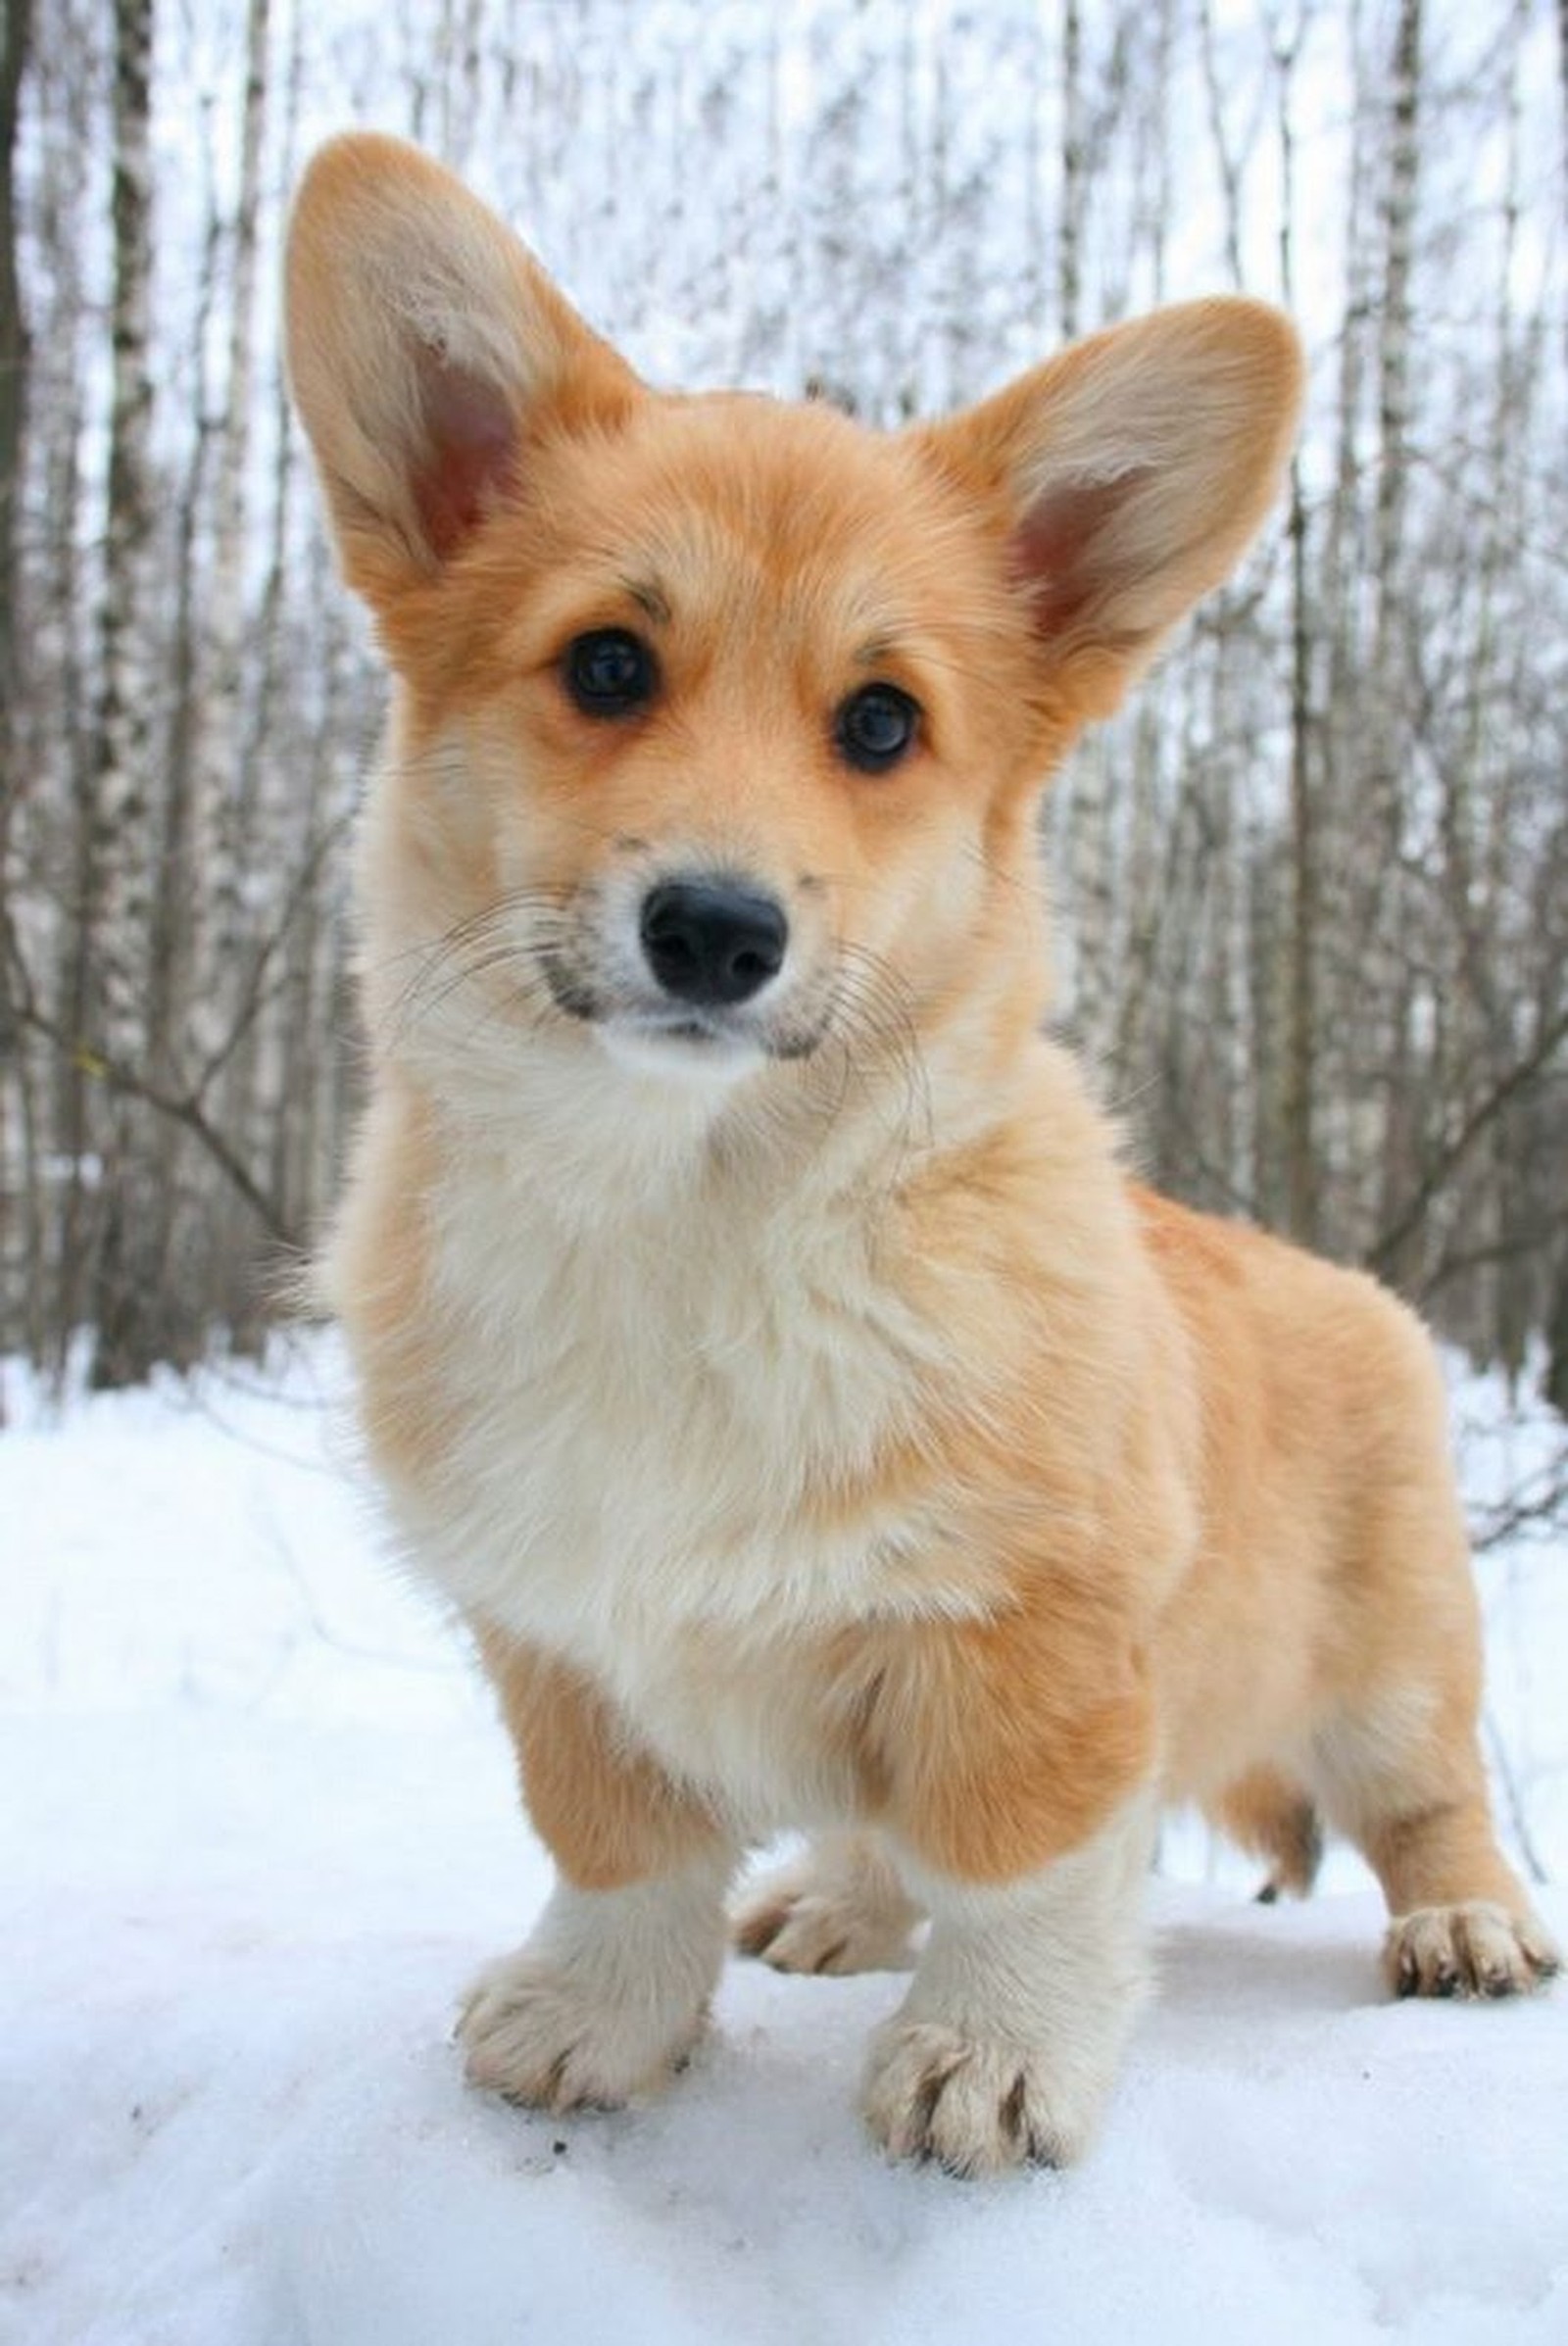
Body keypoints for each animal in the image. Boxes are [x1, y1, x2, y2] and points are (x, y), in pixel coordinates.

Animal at [287, 137, 1558, 2168]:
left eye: (880, 721)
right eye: (608, 664)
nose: (715, 929)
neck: (693, 1210)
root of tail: (1335, 1274)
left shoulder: (1030, 1631)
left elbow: (1026, 1859)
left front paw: (995, 2052)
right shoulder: (557, 1632)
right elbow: (619, 1848)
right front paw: (595, 2015)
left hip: (1395, 1655)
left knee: (1425, 1792)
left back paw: (1465, 1922)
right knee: (875, 1831)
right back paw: (836, 1899)